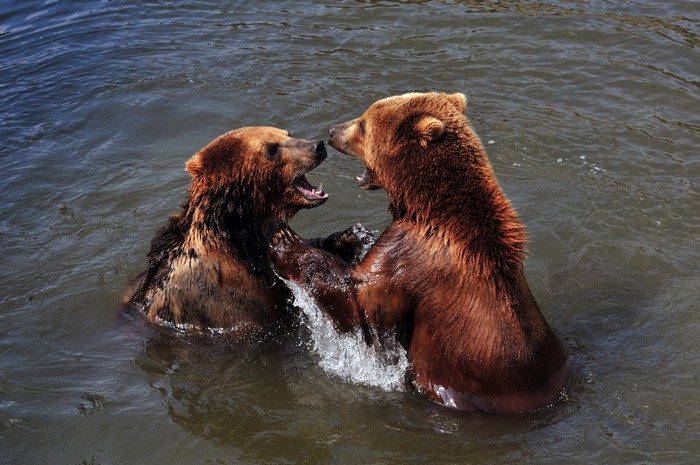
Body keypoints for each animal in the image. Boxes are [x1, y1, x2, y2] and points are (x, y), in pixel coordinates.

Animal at [124, 126, 368, 338]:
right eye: (271, 149)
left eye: (287, 134)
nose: (317, 146)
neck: (239, 235)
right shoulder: (231, 293)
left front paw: (351, 238)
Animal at [270, 93, 570, 412]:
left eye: (363, 124)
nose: (332, 130)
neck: (425, 206)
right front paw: (354, 236)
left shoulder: (412, 256)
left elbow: (359, 302)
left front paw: (285, 241)